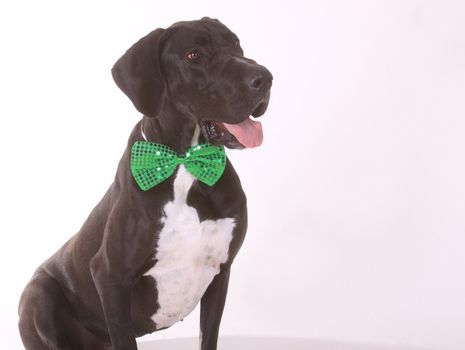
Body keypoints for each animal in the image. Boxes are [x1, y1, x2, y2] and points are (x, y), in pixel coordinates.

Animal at [18, 17, 272, 350]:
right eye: (194, 55)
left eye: (236, 44)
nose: (265, 78)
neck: (184, 164)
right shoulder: (110, 276)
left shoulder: (221, 272)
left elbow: (208, 338)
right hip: (37, 294)